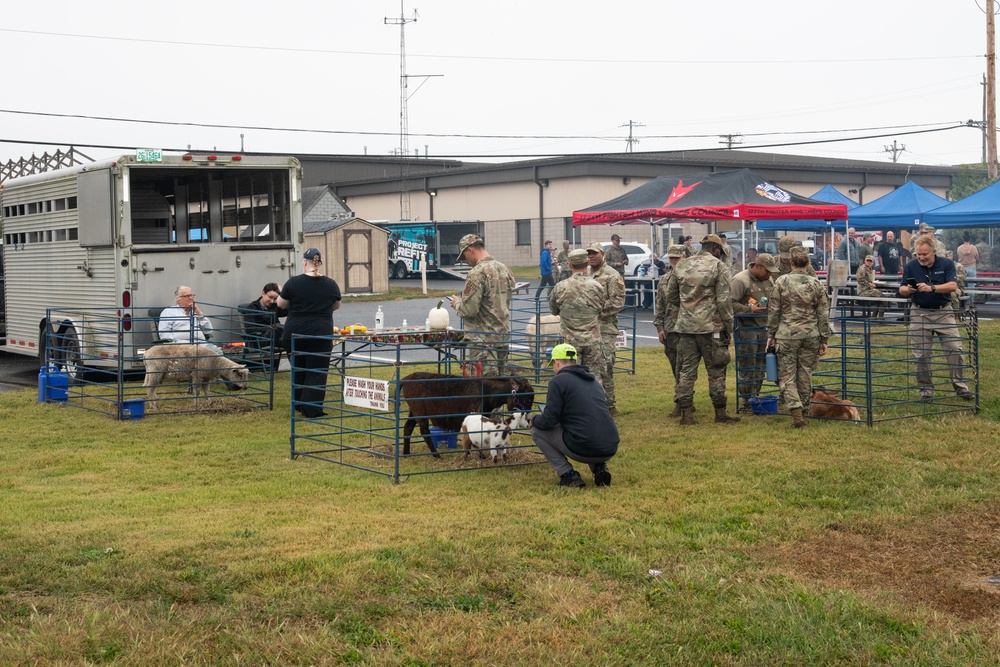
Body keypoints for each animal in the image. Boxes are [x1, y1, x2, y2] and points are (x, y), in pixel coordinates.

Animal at [398, 374, 536, 456]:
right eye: (527, 400)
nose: (529, 419)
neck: (487, 390)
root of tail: (406, 379)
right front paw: (480, 455)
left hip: (413, 411)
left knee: (408, 427)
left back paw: (406, 453)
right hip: (420, 412)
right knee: (424, 431)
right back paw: (436, 455)